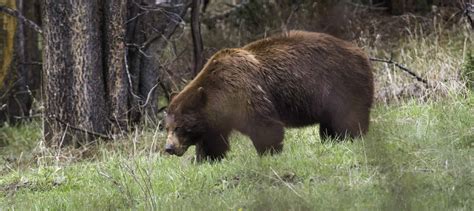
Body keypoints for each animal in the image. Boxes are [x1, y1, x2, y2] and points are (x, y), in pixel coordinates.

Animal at [163, 30, 374, 161]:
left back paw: (352, 138)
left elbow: (265, 126)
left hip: (343, 85)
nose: (169, 148)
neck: (220, 97)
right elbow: (212, 142)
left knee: (350, 119)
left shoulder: (246, 93)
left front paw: (269, 153)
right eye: (167, 127)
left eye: (179, 127)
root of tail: (361, 52)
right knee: (329, 126)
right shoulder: (215, 121)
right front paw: (206, 159)